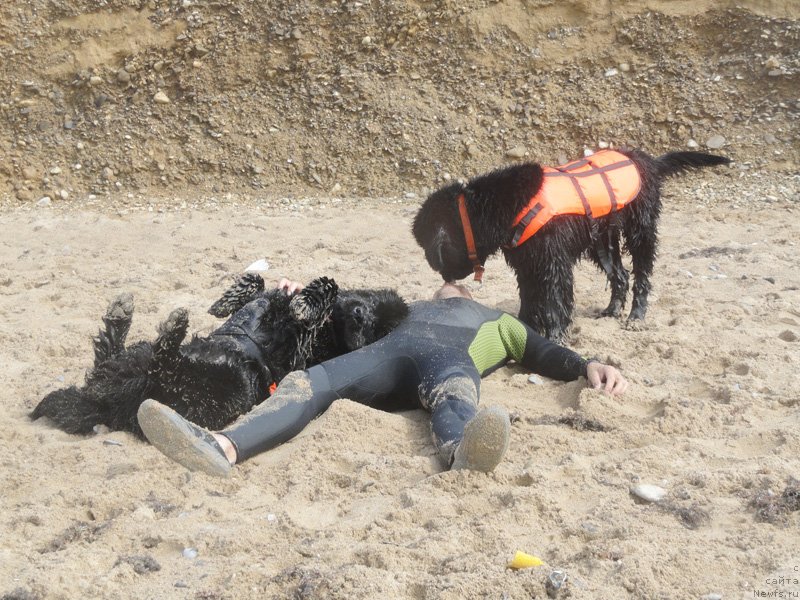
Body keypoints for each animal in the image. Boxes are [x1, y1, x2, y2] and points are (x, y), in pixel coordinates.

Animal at [31, 274, 406, 438]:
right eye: (373, 303)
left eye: (379, 329)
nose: (359, 315)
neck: (332, 331)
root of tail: (105, 408)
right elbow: (257, 282)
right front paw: (225, 301)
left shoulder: (300, 350)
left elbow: (324, 290)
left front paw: (306, 301)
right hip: (134, 358)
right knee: (109, 355)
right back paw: (121, 315)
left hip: (217, 389)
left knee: (165, 370)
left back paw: (171, 328)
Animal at [412, 148, 732, 340]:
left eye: (430, 249)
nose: (445, 278)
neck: (505, 204)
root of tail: (646, 160)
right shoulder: (527, 264)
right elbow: (530, 300)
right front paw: (528, 328)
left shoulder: (553, 263)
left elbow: (555, 303)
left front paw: (555, 335)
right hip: (602, 241)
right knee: (620, 275)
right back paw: (612, 310)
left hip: (641, 230)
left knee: (641, 275)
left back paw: (635, 316)